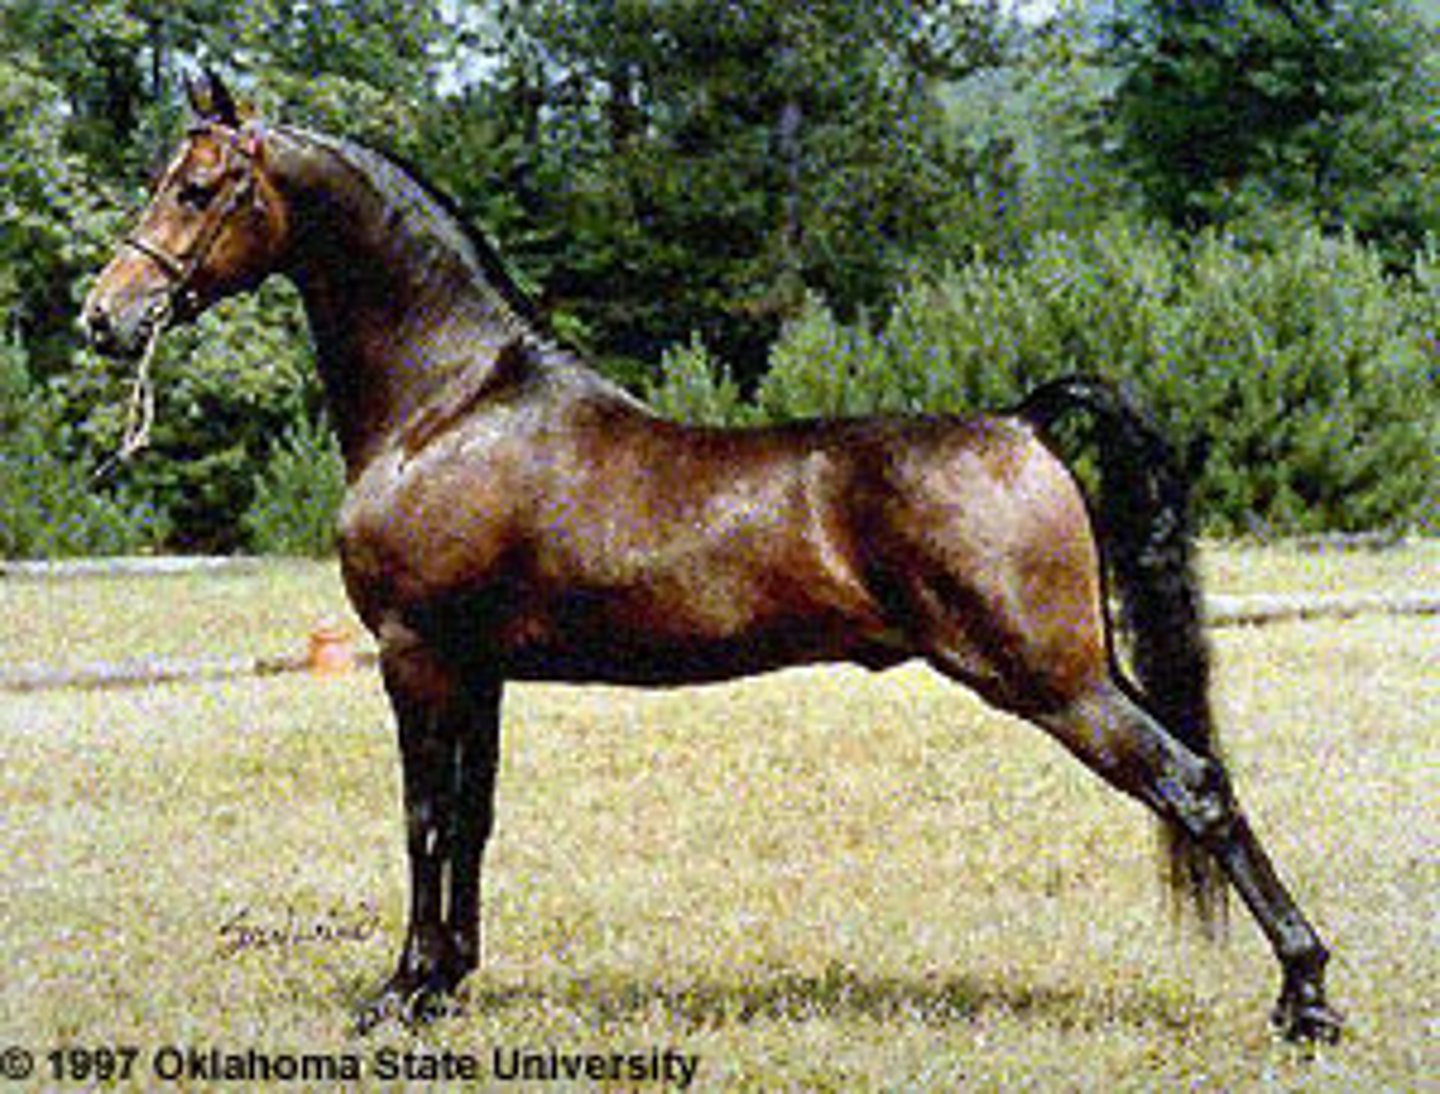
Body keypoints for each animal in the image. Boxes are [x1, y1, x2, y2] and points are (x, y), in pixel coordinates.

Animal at [82, 72, 1341, 1043]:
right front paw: (448, 980)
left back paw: (1308, 996)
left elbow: (424, 818)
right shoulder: (477, 668)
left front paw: (399, 991)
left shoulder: (417, 653)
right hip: (1086, 665)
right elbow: (474, 816)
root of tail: (1023, 421)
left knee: (1195, 784)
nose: (104, 315)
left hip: (1054, 678)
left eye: (197, 187)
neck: (452, 402)